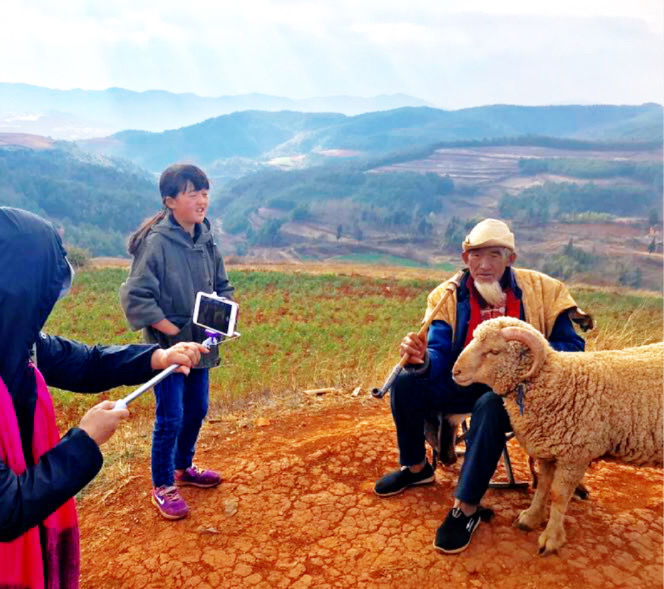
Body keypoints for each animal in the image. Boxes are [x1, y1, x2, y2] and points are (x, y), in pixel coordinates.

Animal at [451, 316, 663, 555]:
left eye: (494, 351)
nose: (455, 371)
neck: (556, 384)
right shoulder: (548, 452)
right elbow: (543, 486)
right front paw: (530, 518)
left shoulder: (575, 456)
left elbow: (558, 495)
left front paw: (551, 538)